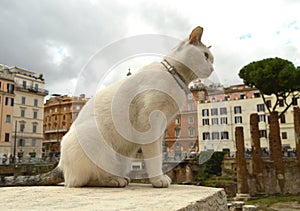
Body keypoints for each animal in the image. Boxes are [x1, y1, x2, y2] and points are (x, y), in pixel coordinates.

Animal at [1, 26, 214, 188]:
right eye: (205, 55)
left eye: (211, 58)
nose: (212, 67)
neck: (175, 75)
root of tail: (60, 165)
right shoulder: (150, 123)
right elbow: (154, 158)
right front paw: (158, 179)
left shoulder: (161, 126)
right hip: (97, 142)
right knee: (82, 181)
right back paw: (115, 180)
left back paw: (120, 178)